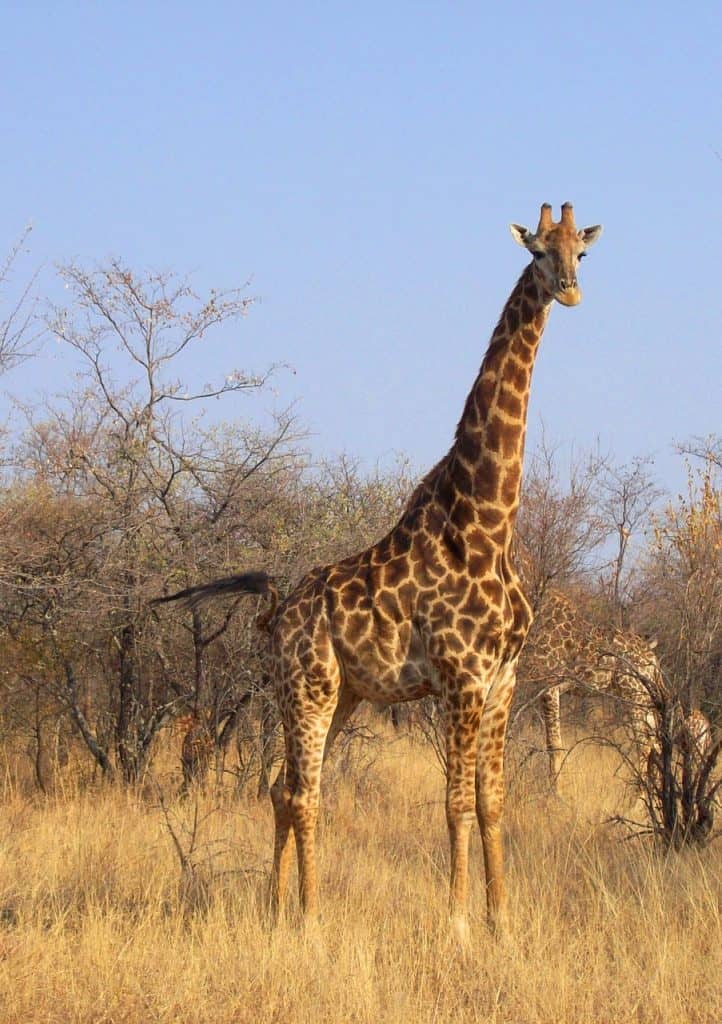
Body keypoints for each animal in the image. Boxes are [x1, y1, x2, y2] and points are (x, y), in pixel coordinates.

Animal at [156, 205, 602, 937]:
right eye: (537, 250)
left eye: (581, 253)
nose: (568, 291)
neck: (487, 522)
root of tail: (275, 615)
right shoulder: (460, 679)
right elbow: (455, 803)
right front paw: (457, 925)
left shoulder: (503, 680)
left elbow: (494, 801)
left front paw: (502, 922)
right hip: (310, 686)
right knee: (304, 793)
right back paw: (309, 917)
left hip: (337, 693)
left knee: (281, 787)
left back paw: (275, 908)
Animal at [516, 589, 663, 786]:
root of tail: (652, 658)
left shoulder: (549, 686)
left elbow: (554, 744)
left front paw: (554, 791)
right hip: (644, 698)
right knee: (657, 744)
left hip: (633, 694)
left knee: (644, 744)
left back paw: (638, 794)